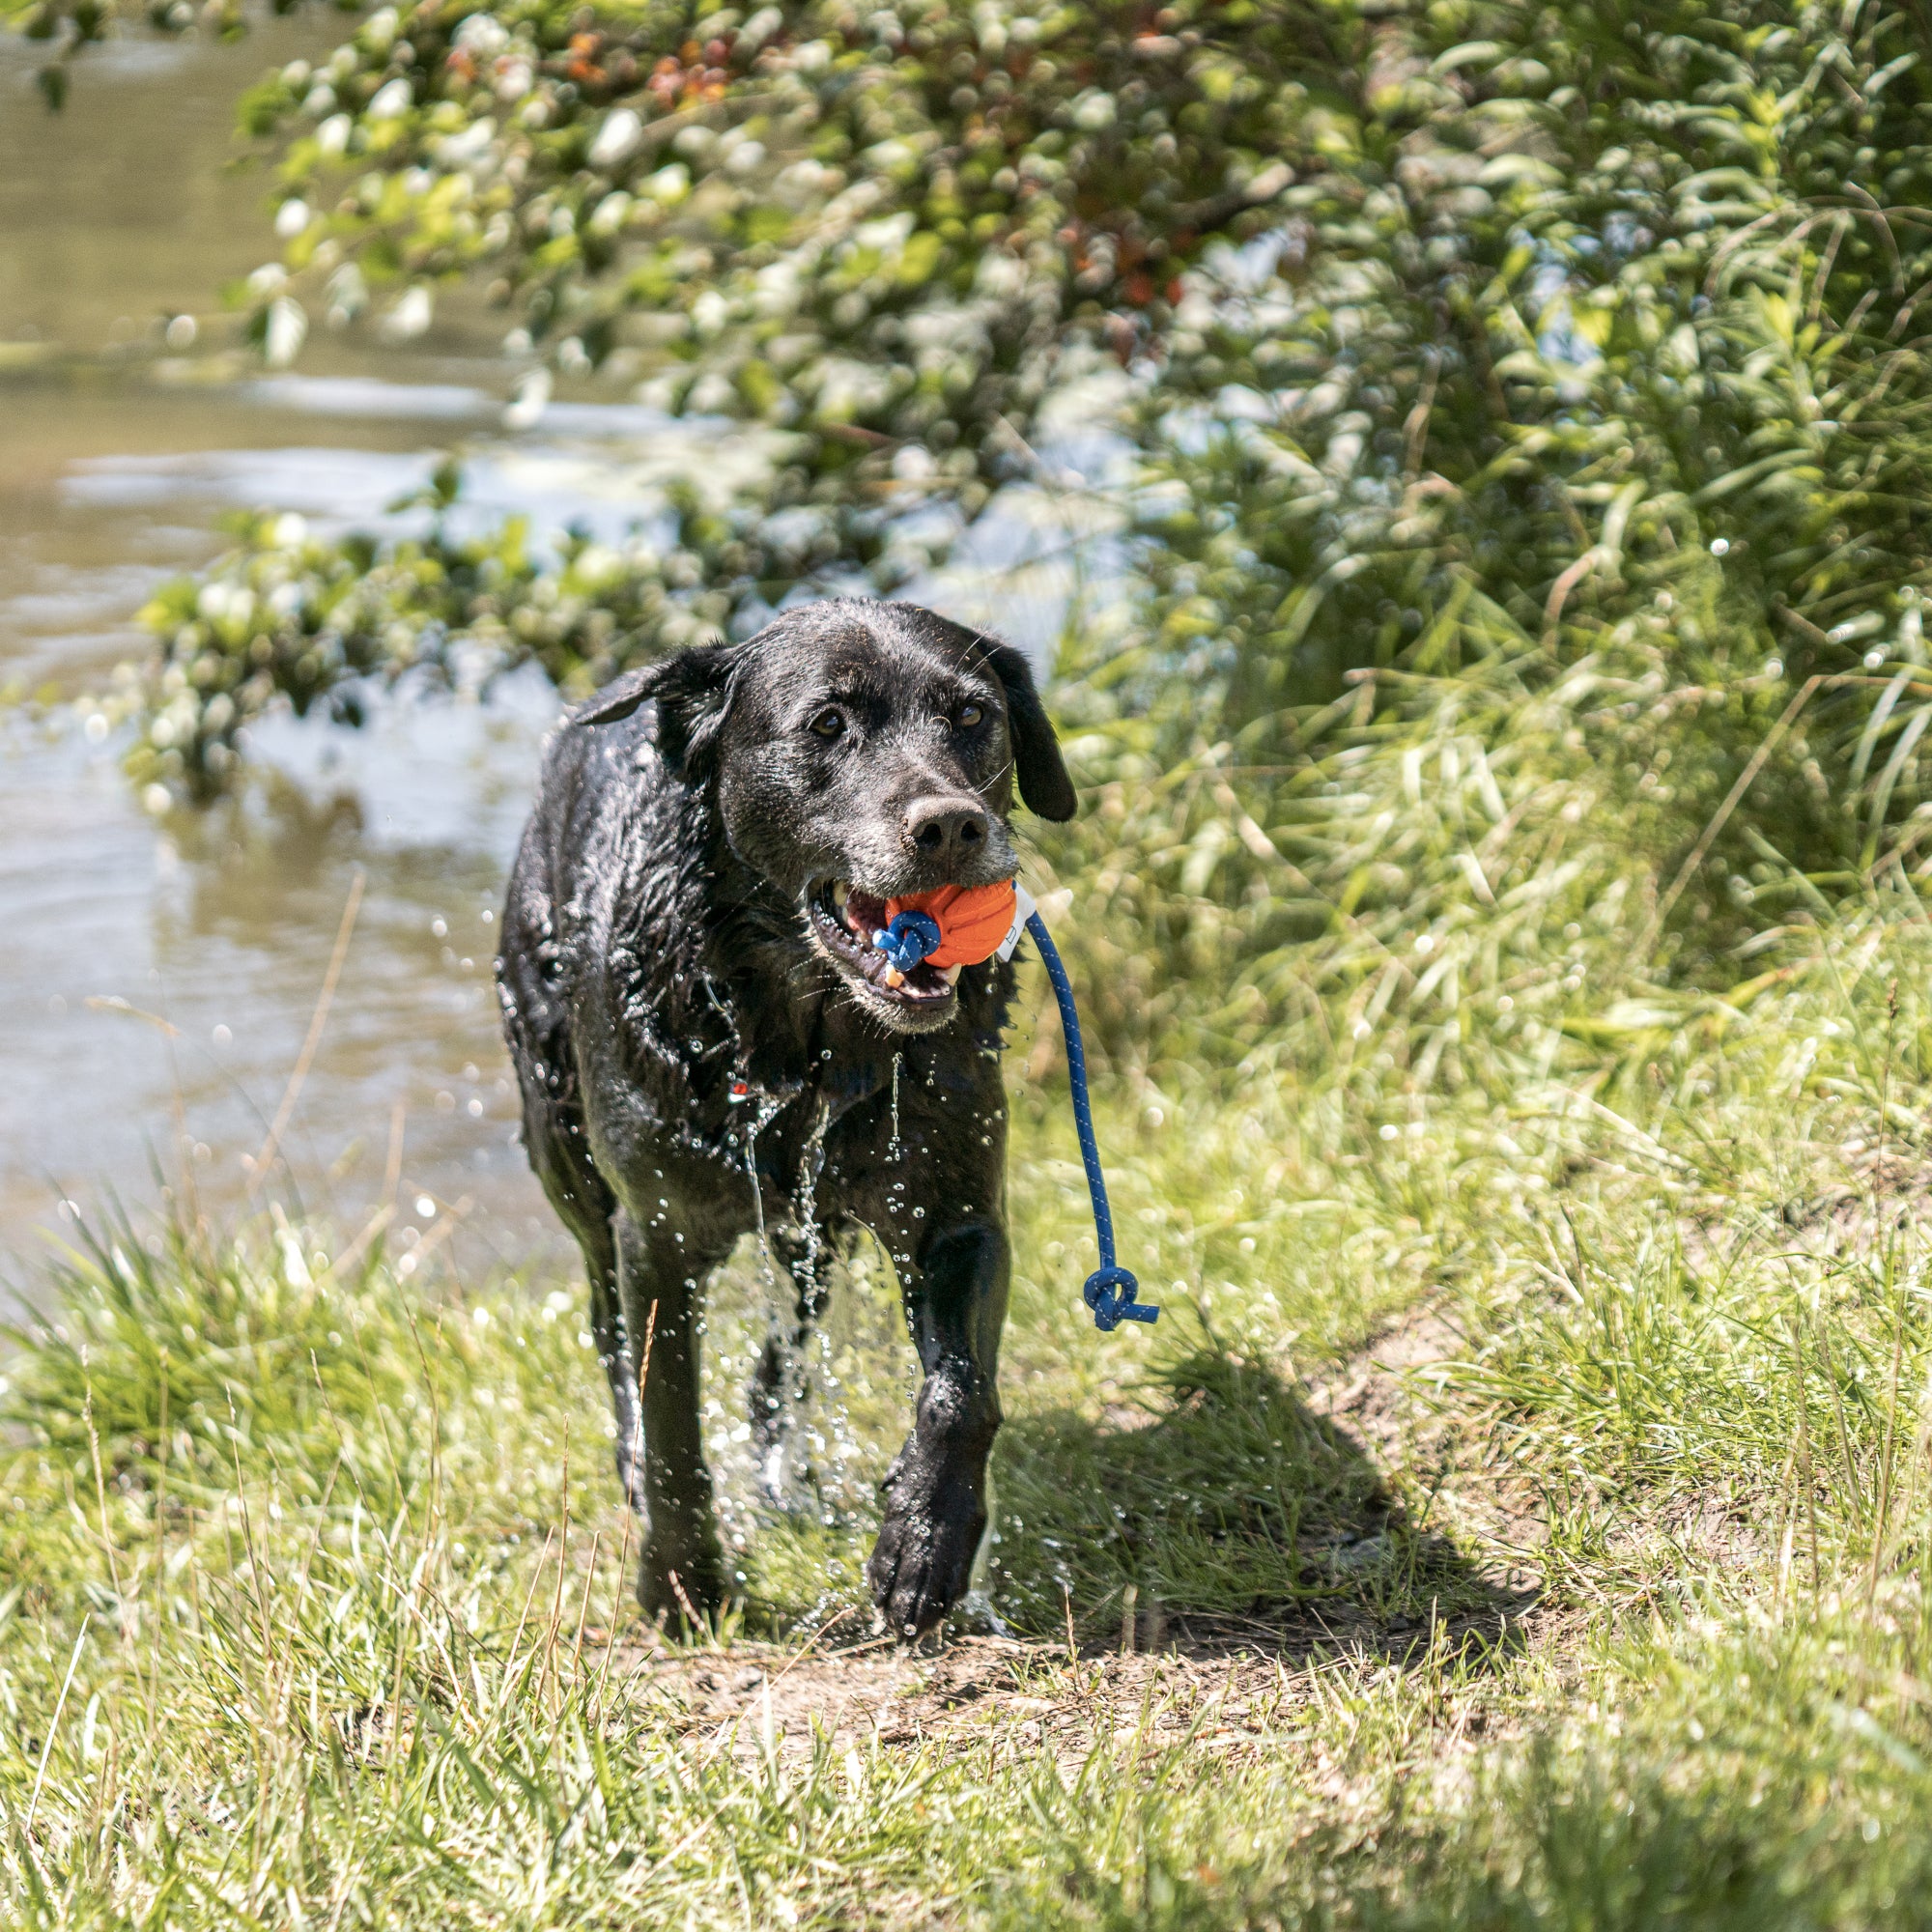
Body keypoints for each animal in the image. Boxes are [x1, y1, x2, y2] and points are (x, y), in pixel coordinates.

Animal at [498, 599, 1074, 1631]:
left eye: (973, 715)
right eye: (827, 725)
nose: (953, 825)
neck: (809, 1042)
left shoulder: (959, 1211)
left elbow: (961, 1392)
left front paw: (925, 1542)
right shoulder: (657, 1236)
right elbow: (670, 1422)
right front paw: (680, 1587)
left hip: (811, 1234)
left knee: (785, 1356)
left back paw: (790, 1478)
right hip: (567, 1154)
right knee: (606, 1328)